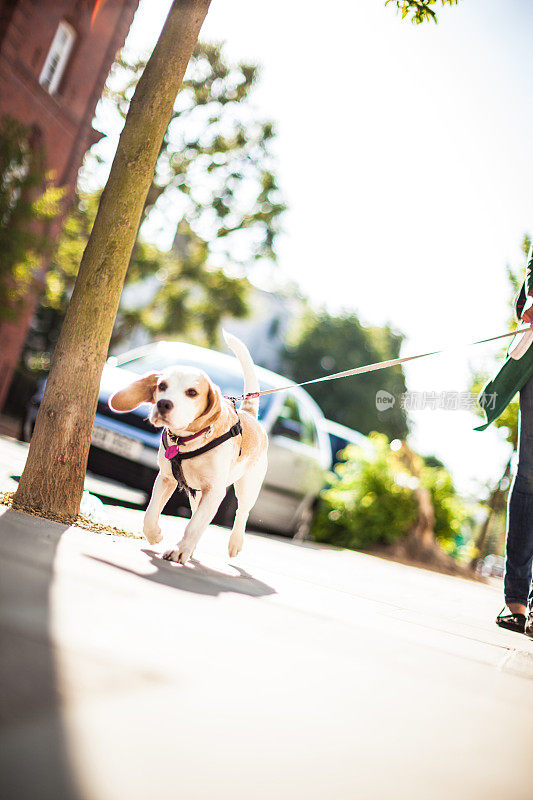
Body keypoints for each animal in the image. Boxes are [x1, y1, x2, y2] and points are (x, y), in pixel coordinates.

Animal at [109, 334, 266, 564]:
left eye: (192, 393)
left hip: (247, 487)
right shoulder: (166, 479)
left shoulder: (214, 491)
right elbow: (150, 513)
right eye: (162, 386)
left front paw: (180, 550)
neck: (186, 441)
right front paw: (155, 534)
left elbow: (194, 526)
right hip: (196, 495)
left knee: (241, 513)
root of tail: (250, 415)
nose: (164, 404)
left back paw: (235, 542)